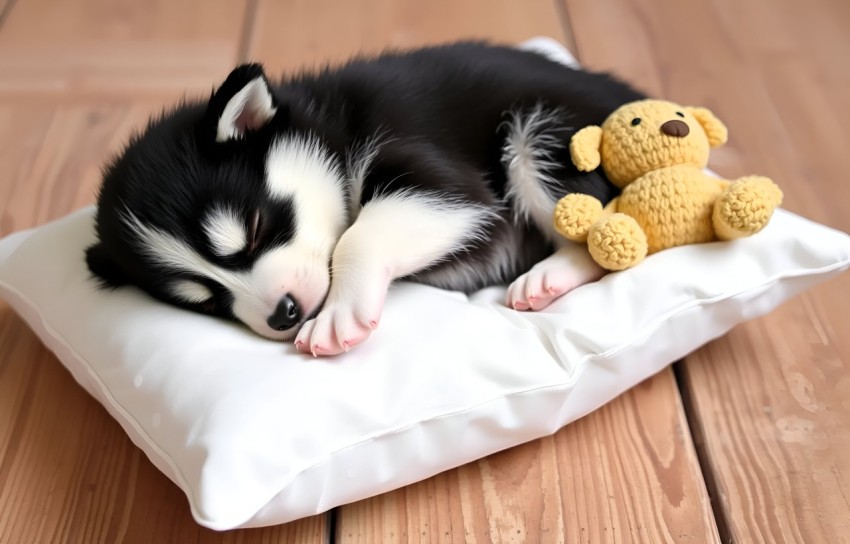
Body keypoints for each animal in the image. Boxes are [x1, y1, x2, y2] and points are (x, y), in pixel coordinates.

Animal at [88, 43, 644, 356]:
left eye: (255, 228)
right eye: (206, 302)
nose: (284, 314)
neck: (331, 127)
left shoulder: (444, 181)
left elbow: (355, 239)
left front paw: (341, 311)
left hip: (540, 134)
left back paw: (550, 275)